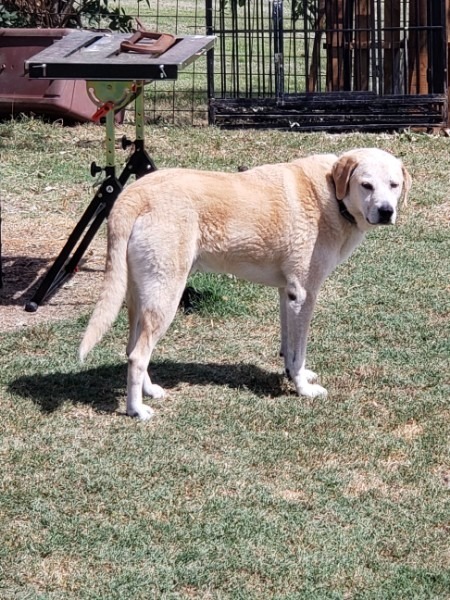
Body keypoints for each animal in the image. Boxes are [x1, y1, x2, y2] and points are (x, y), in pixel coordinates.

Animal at [79, 148, 410, 420]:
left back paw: (149, 391)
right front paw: (302, 389)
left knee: (131, 349)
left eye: (394, 185)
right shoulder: (304, 295)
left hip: (141, 298)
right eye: (366, 185)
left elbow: (289, 348)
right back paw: (136, 410)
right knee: (138, 355)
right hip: (166, 296)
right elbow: (299, 350)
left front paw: (293, 375)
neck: (331, 192)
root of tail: (133, 194)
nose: (386, 211)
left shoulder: (287, 293)